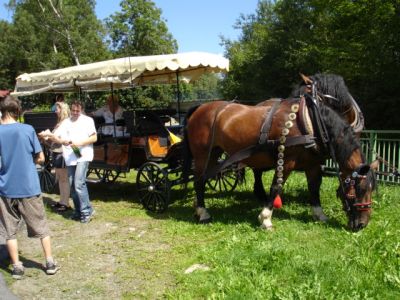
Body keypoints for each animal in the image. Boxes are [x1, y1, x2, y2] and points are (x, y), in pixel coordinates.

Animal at [183, 85, 376, 231]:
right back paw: (203, 213)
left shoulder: (312, 164)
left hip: (214, 153)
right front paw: (266, 218)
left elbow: (314, 188)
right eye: (360, 189)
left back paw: (197, 207)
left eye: (371, 190)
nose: (362, 224)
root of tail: (199, 108)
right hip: (202, 154)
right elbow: (276, 186)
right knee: (199, 181)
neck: (312, 123)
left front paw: (319, 214)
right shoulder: (287, 160)